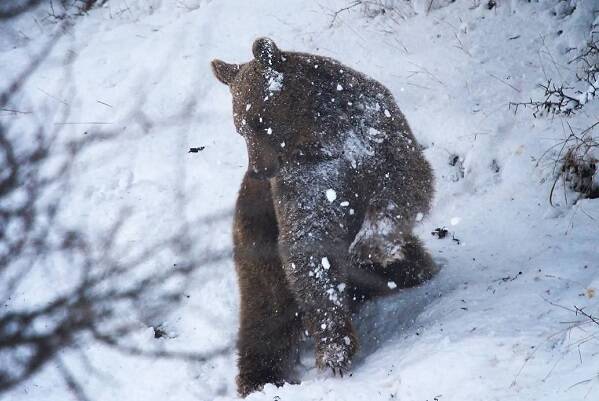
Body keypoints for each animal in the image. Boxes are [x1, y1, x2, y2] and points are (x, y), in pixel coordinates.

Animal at [213, 38, 438, 396]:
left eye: (258, 121)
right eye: (240, 128)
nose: (259, 171)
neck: (319, 130)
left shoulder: (375, 135)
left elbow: (404, 180)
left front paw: (372, 245)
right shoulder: (307, 180)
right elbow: (310, 244)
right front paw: (334, 348)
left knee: (412, 266)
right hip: (256, 238)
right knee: (266, 312)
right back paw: (261, 378)